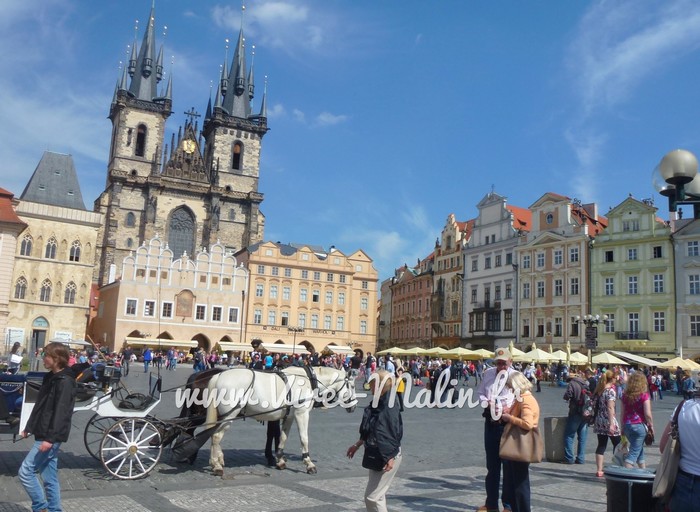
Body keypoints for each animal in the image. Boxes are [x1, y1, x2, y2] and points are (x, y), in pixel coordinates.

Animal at [202, 366, 356, 474]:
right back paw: (216, 465)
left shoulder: (290, 416)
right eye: (353, 386)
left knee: (213, 435)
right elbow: (304, 438)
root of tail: (219, 375)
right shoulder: (302, 413)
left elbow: (283, 437)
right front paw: (309, 463)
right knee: (216, 436)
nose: (354, 407)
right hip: (230, 415)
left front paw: (280, 460)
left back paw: (216, 461)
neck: (308, 380)